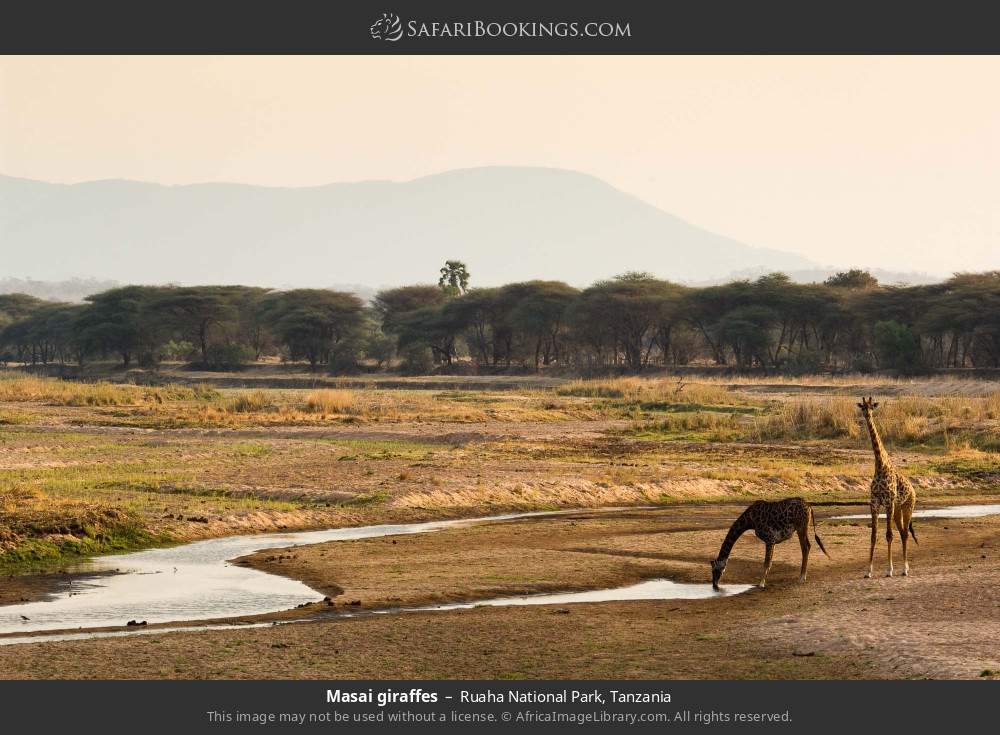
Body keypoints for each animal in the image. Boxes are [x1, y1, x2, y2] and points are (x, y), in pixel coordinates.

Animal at [857, 396, 917, 578]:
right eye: (862, 407)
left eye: (872, 407)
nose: (867, 415)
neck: (880, 466)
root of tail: (913, 489)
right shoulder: (875, 502)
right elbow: (873, 535)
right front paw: (868, 571)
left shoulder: (888, 502)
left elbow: (889, 535)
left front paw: (889, 570)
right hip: (898, 509)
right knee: (903, 532)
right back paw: (904, 568)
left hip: (907, 507)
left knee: (905, 533)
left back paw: (905, 569)